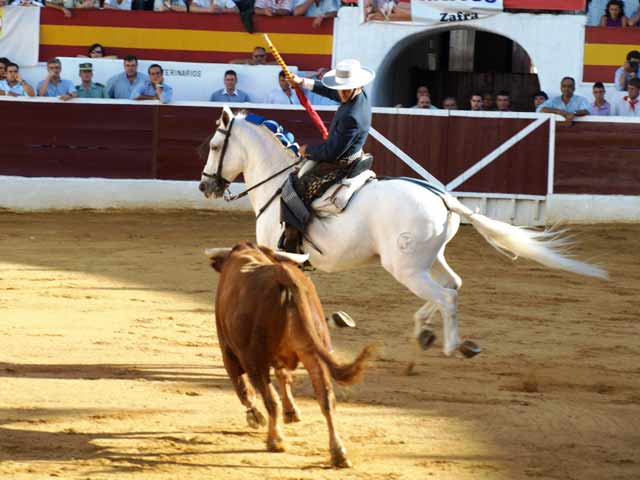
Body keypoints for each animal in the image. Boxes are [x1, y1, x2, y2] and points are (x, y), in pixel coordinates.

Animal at [199, 108, 604, 356]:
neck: (277, 182)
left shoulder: (276, 253)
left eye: (215, 145)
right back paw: (426, 331)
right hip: (429, 258)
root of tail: (444, 199)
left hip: (404, 267)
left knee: (447, 296)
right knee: (454, 284)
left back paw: (451, 346)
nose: (206, 186)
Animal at [208, 242, 372, 466]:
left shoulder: (229, 351)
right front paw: (291, 412)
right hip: (314, 354)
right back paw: (338, 453)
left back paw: (275, 441)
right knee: (326, 399)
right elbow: (284, 377)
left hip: (255, 360)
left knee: (270, 399)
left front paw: (255, 417)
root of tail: (283, 275)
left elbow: (244, 390)